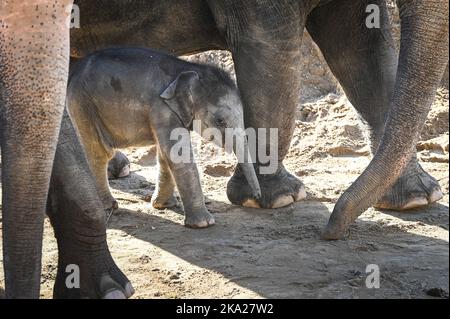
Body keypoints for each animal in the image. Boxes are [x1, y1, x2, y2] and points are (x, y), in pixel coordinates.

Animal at [68, 47, 262, 229]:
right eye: (220, 121)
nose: (256, 197)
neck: (189, 69)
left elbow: (165, 154)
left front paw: (163, 205)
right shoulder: (162, 109)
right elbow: (178, 155)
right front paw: (204, 224)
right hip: (82, 104)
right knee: (99, 153)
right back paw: (108, 207)